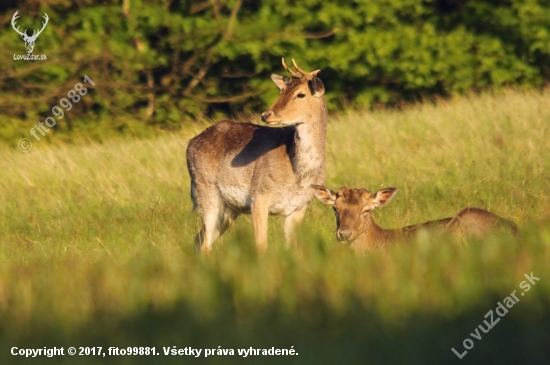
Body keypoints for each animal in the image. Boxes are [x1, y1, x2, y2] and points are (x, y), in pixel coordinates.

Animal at [189, 60, 328, 253]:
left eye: (301, 94)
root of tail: (190, 143)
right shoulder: (259, 196)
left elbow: (293, 247)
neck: (300, 176)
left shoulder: (300, 206)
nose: (266, 114)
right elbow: (261, 245)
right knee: (205, 244)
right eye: (281, 91)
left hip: (228, 210)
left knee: (198, 238)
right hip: (205, 192)